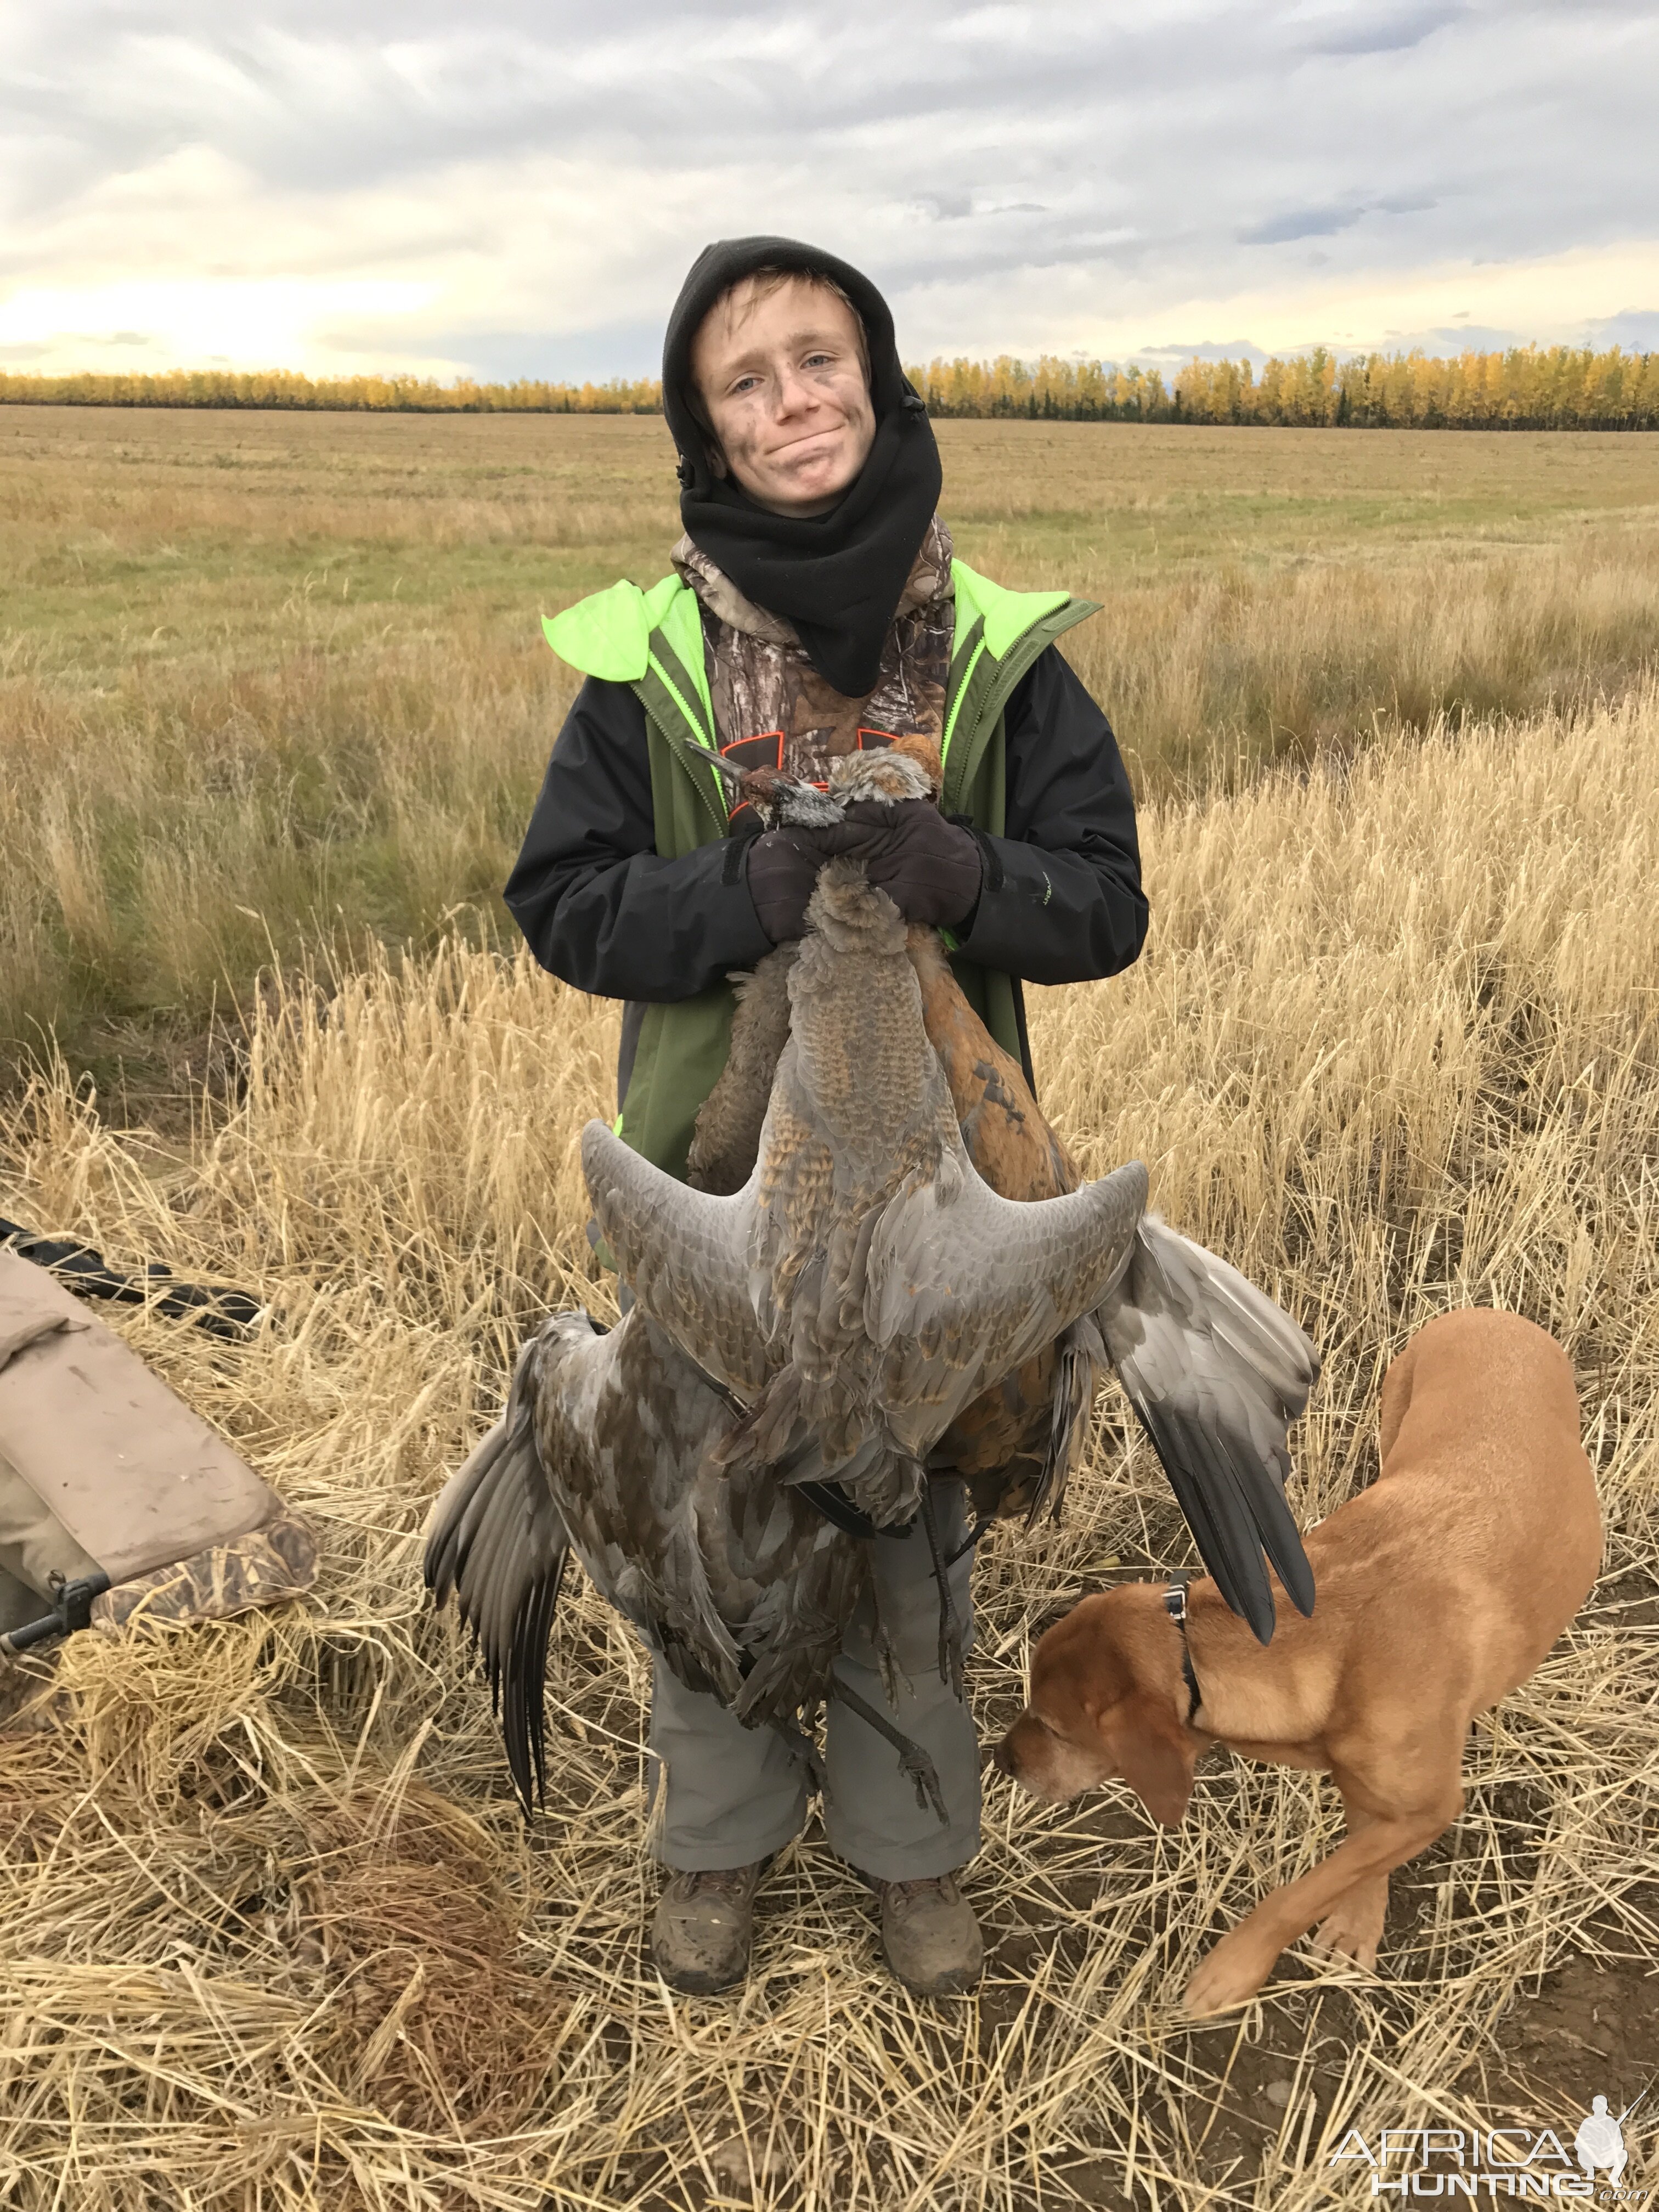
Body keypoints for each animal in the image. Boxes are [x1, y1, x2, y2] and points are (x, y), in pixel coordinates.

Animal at [995, 1309, 1601, 2026]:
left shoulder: (1430, 1805)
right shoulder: (1363, 1782)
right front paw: (1359, 1921)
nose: (1000, 1761)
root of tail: (1489, 1313)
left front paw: (1232, 1971)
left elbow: (1302, 1892)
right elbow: (1357, 1859)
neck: (1330, 1641)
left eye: (1055, 1728)